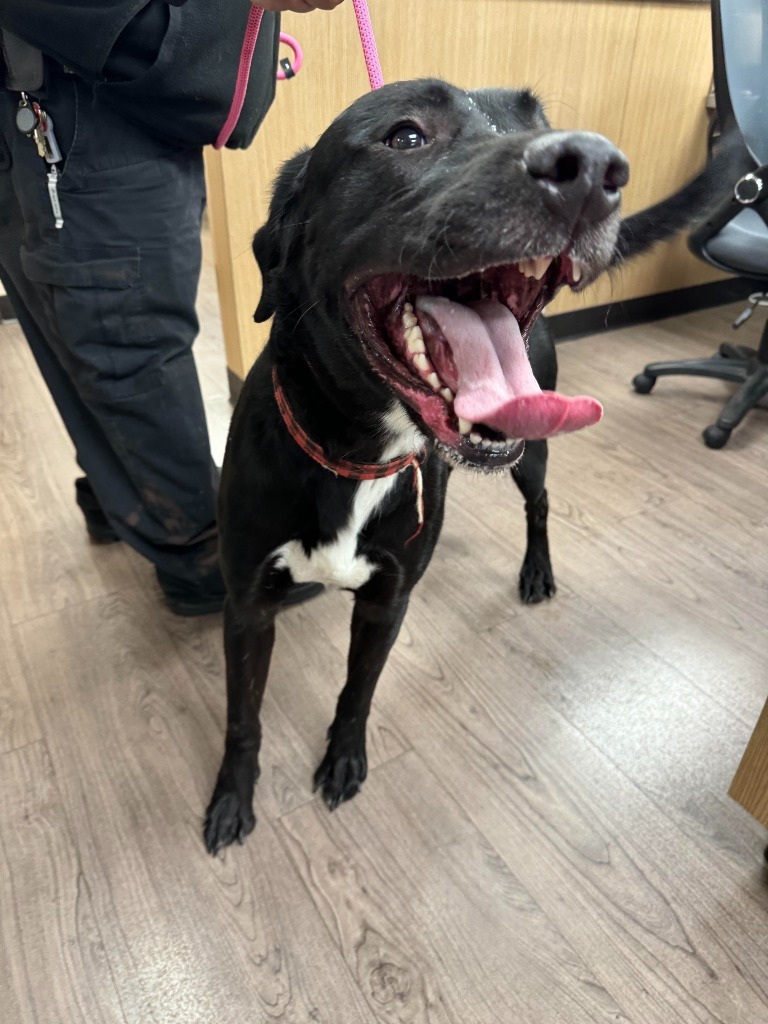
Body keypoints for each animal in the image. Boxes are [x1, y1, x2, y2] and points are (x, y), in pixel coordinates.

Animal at [202, 77, 729, 856]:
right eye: (406, 135)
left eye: (536, 119)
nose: (594, 168)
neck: (359, 452)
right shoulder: (246, 609)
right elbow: (243, 718)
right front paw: (233, 798)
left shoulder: (386, 604)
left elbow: (357, 692)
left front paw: (344, 758)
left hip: (533, 452)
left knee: (539, 505)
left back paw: (536, 570)